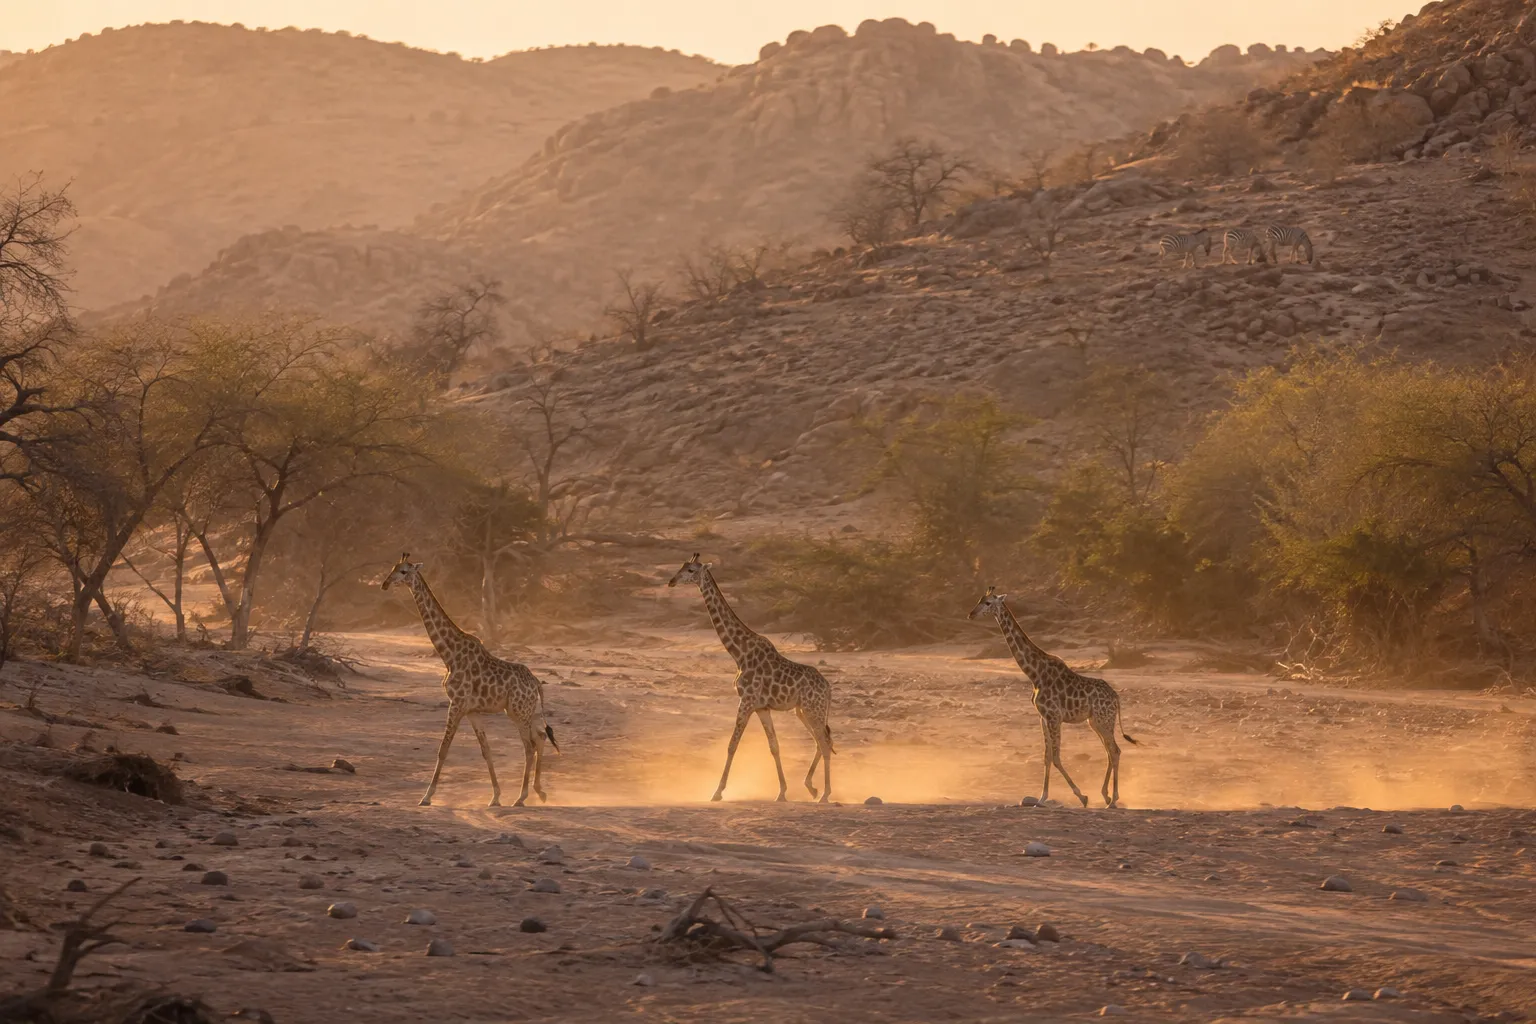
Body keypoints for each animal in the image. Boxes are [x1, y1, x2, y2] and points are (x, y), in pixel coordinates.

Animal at [381, 553, 558, 808]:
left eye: (404, 571)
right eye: (393, 568)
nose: (385, 584)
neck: (448, 654)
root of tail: (536, 683)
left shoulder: (456, 703)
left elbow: (443, 749)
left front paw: (426, 796)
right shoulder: (472, 710)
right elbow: (486, 750)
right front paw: (495, 796)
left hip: (517, 713)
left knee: (529, 746)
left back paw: (522, 797)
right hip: (529, 712)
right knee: (541, 738)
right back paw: (539, 792)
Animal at [668, 554, 835, 803]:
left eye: (690, 570)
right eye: (680, 566)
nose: (671, 581)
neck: (738, 653)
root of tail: (828, 689)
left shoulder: (746, 700)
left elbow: (731, 745)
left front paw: (717, 792)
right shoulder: (762, 707)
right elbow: (774, 746)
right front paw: (782, 792)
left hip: (813, 709)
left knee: (824, 743)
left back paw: (824, 794)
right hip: (804, 710)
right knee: (820, 741)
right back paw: (812, 788)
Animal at [969, 587, 1137, 807]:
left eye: (988, 603)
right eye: (979, 599)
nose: (971, 614)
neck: (1034, 673)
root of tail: (1116, 697)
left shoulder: (1054, 716)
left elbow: (1056, 757)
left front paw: (1082, 796)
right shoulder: (1043, 717)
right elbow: (1046, 757)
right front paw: (1041, 798)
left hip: (1104, 720)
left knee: (1115, 751)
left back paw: (1113, 800)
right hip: (1095, 722)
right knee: (1110, 752)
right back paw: (1106, 795)